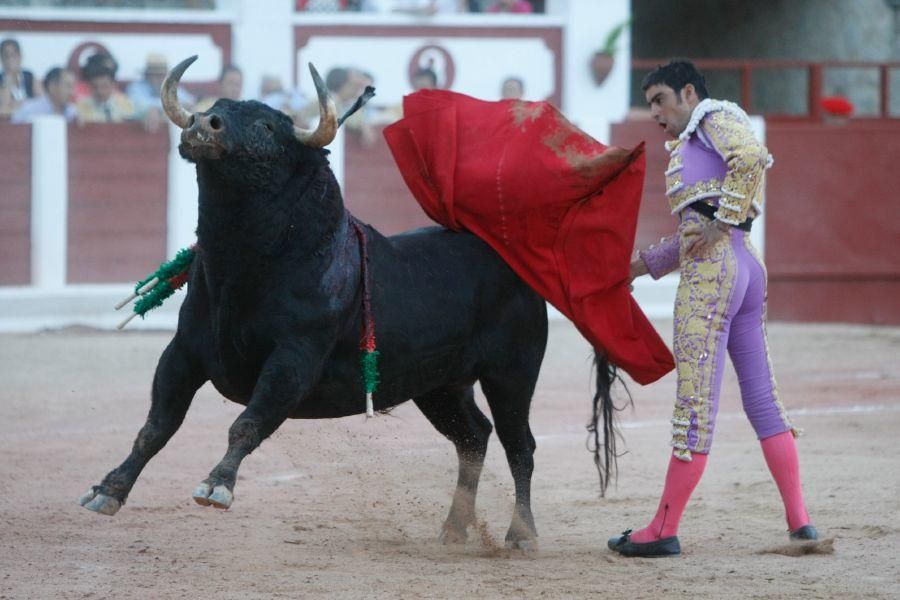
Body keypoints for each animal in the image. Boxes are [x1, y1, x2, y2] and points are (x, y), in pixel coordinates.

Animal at [79, 56, 620, 548]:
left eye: (267, 126)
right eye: (216, 107)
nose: (200, 125)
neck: (244, 268)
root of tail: (514, 259)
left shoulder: (294, 358)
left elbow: (247, 422)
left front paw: (216, 486)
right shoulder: (184, 353)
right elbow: (156, 426)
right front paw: (108, 490)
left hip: (512, 371)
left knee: (518, 444)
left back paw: (520, 534)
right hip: (440, 385)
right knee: (474, 438)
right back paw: (453, 528)